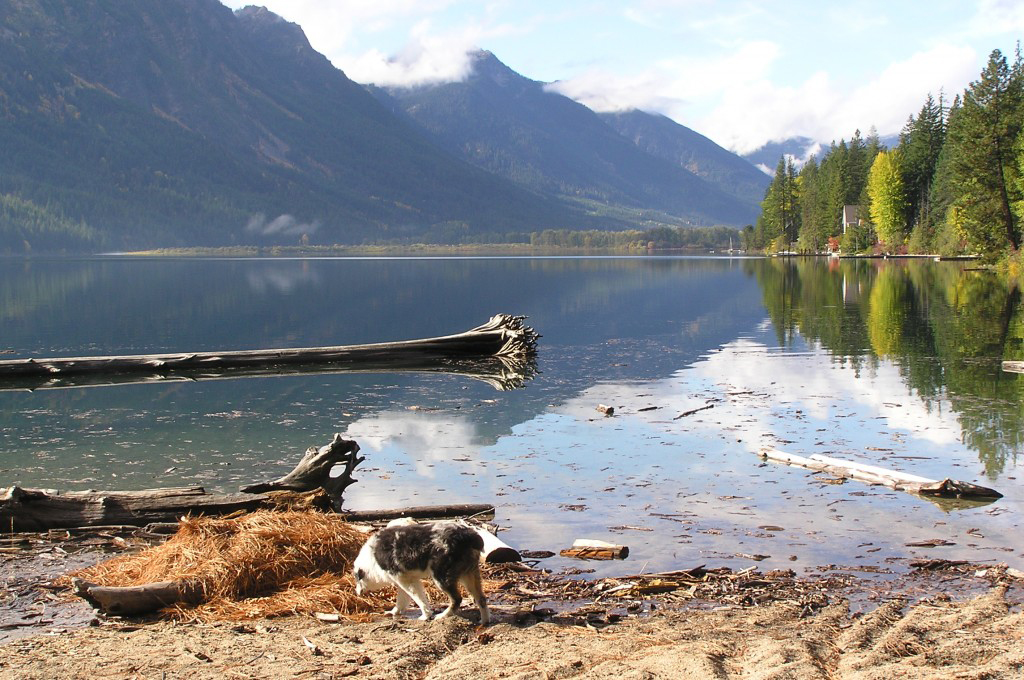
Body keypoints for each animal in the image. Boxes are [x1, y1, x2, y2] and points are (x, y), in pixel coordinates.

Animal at [354, 520, 489, 626]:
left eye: (357, 579)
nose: (356, 592)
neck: (371, 560)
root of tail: (468, 535)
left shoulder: (407, 581)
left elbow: (420, 599)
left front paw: (426, 616)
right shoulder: (404, 581)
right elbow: (401, 600)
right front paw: (394, 612)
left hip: (442, 578)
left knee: (457, 599)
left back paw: (443, 616)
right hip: (469, 575)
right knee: (481, 599)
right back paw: (484, 622)